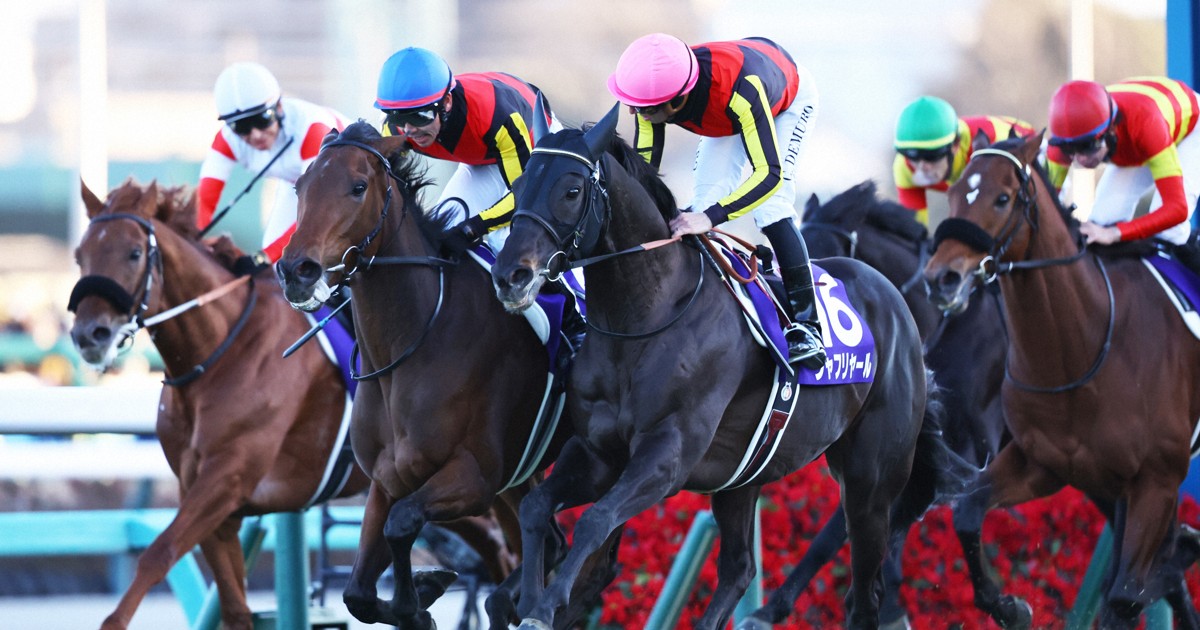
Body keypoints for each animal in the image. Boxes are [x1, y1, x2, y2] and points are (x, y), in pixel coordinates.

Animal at [69, 179, 373, 630]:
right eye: (80, 255)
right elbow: (234, 606)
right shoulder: (208, 497)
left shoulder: (228, 476)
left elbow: (159, 552)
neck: (219, 351)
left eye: (134, 252)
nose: (90, 334)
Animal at [274, 121, 617, 630]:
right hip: (520, 476)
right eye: (301, 186)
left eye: (358, 187)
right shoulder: (386, 480)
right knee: (552, 542)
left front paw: (419, 598)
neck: (412, 347)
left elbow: (403, 524)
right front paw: (418, 597)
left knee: (593, 558)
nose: (296, 270)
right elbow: (357, 593)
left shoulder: (474, 477)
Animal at [489, 106, 969, 630]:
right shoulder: (598, 451)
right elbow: (536, 506)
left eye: (572, 189)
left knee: (864, 592)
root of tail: (897, 305)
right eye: (518, 184)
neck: (643, 320)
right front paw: (529, 601)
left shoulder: (668, 454)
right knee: (740, 569)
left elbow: (596, 519)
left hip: (871, 483)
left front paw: (543, 606)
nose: (510, 275)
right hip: (742, 478)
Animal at [923, 132, 1200, 628]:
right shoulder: (1044, 463)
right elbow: (968, 513)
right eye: (953, 193)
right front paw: (1011, 606)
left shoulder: (1159, 481)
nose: (942, 278)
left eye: (1002, 198)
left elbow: (1123, 597)